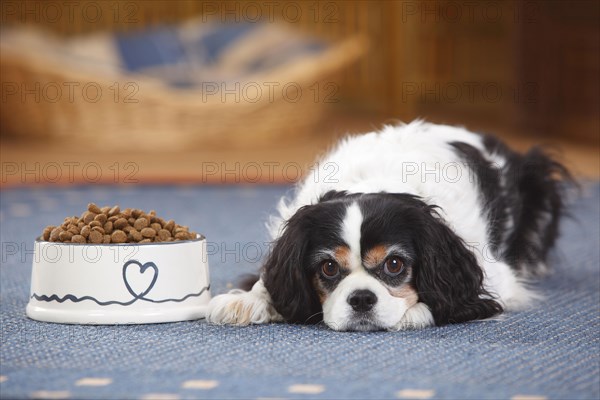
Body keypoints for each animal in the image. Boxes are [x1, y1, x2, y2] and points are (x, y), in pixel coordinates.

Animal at [206, 121, 568, 332]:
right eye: (328, 268)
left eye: (394, 264)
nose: (362, 299)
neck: (376, 180)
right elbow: (267, 281)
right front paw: (247, 300)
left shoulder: (496, 276)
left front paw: (414, 312)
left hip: (540, 181)